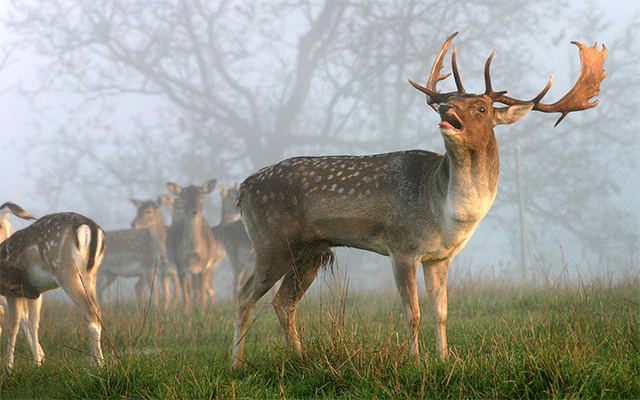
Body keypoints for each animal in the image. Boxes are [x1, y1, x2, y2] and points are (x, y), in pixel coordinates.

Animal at [0, 202, 106, 368]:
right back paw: (100, 362)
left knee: (90, 313)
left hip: (66, 272)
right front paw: (37, 364)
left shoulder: (14, 290)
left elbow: (13, 326)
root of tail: (92, 228)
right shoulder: (34, 292)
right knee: (97, 311)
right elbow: (33, 324)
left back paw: (97, 366)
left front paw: (8, 368)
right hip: (90, 276)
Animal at [230, 32, 604, 368]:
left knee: (283, 302)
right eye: (454, 100)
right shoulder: (402, 246)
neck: (444, 213)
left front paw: (445, 358)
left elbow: (441, 312)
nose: (444, 106)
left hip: (311, 252)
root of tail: (242, 189)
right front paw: (416, 362)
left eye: (481, 107)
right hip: (271, 240)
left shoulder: (440, 258)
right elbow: (413, 313)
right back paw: (236, 363)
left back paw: (298, 357)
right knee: (244, 294)